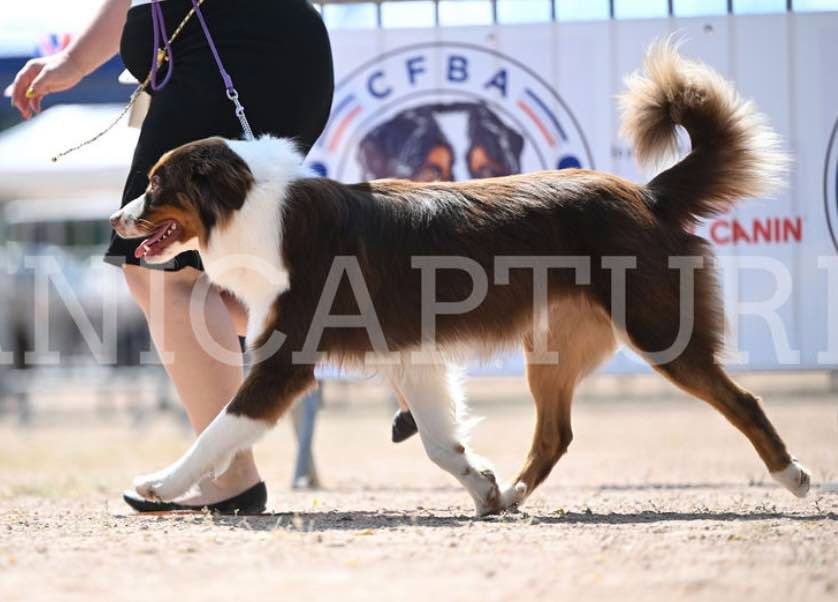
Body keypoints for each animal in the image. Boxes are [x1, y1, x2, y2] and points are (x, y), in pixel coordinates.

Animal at [111, 42, 812, 512]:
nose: (116, 220)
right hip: (551, 347)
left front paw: (161, 484)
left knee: (742, 400)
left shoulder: (288, 356)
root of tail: (647, 194)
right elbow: (436, 440)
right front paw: (481, 485)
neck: (253, 205)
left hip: (657, 328)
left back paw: (794, 476)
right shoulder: (411, 353)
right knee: (556, 432)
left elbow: (219, 428)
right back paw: (516, 495)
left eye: (156, 184)